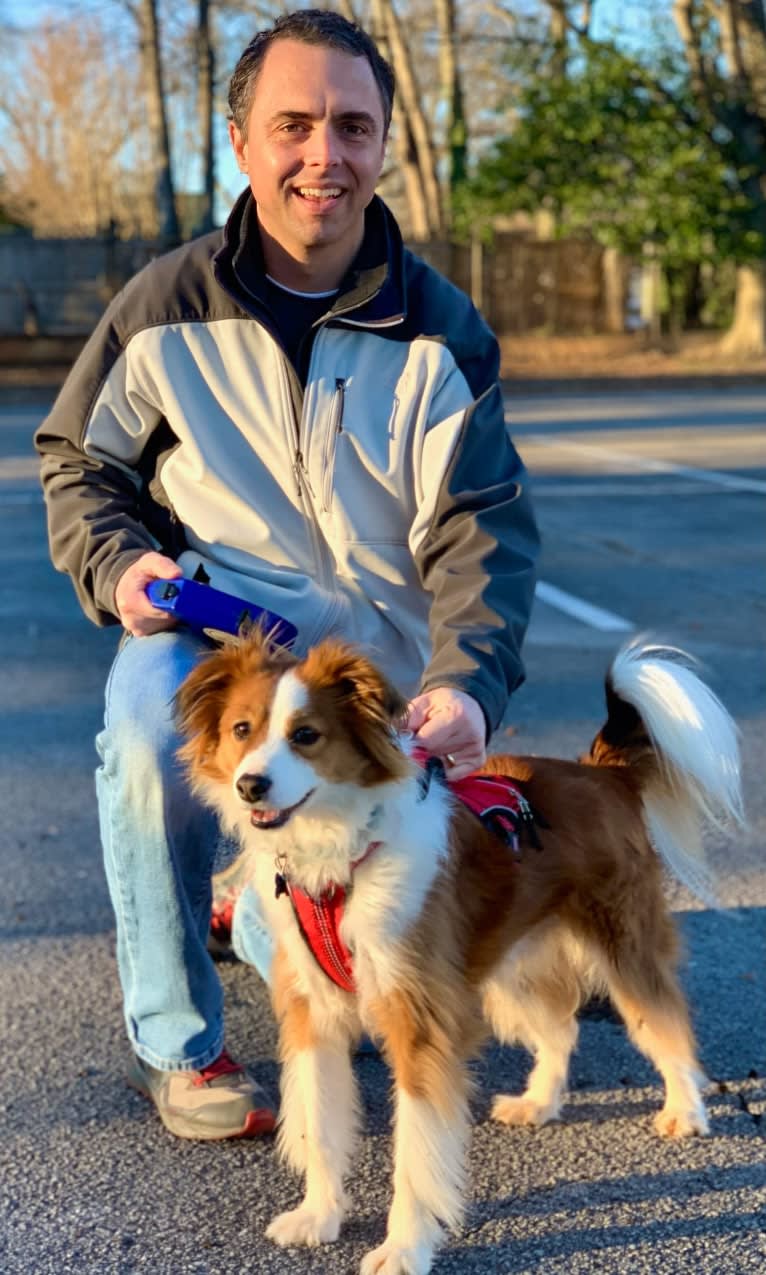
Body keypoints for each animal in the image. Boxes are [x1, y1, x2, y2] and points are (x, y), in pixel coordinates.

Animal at [174, 637, 739, 1275]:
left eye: (306, 735)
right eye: (242, 729)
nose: (251, 785)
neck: (342, 854)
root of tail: (600, 773)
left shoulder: (420, 1021)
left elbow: (415, 1153)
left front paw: (403, 1247)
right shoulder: (314, 1015)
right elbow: (320, 1125)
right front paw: (319, 1216)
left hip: (625, 951)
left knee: (663, 1021)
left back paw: (686, 1110)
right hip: (508, 967)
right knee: (562, 1028)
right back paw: (539, 1102)